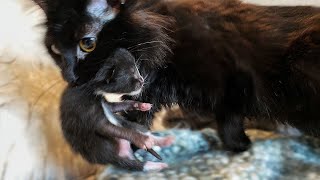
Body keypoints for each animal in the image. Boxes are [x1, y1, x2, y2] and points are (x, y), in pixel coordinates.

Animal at [34, 0, 320, 152]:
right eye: (55, 49)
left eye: (88, 43)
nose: (70, 76)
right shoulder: (148, 93)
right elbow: (135, 120)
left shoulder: (232, 78)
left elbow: (229, 118)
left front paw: (239, 146)